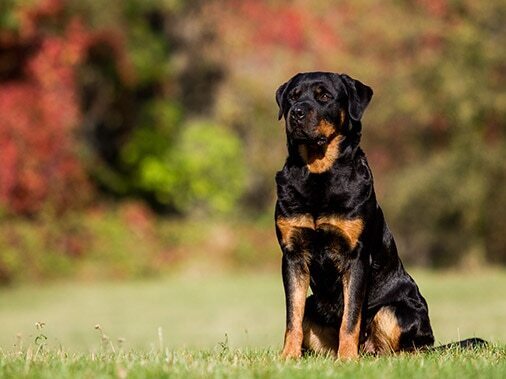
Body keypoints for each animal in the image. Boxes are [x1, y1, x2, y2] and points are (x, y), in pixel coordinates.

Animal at [272, 72, 434, 360]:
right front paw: (288, 356)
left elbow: (351, 317)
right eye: (292, 96)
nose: (296, 112)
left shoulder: (356, 255)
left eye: (324, 96)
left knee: (408, 346)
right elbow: (293, 316)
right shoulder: (292, 255)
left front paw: (347, 359)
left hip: (398, 310)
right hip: (314, 305)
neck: (318, 174)